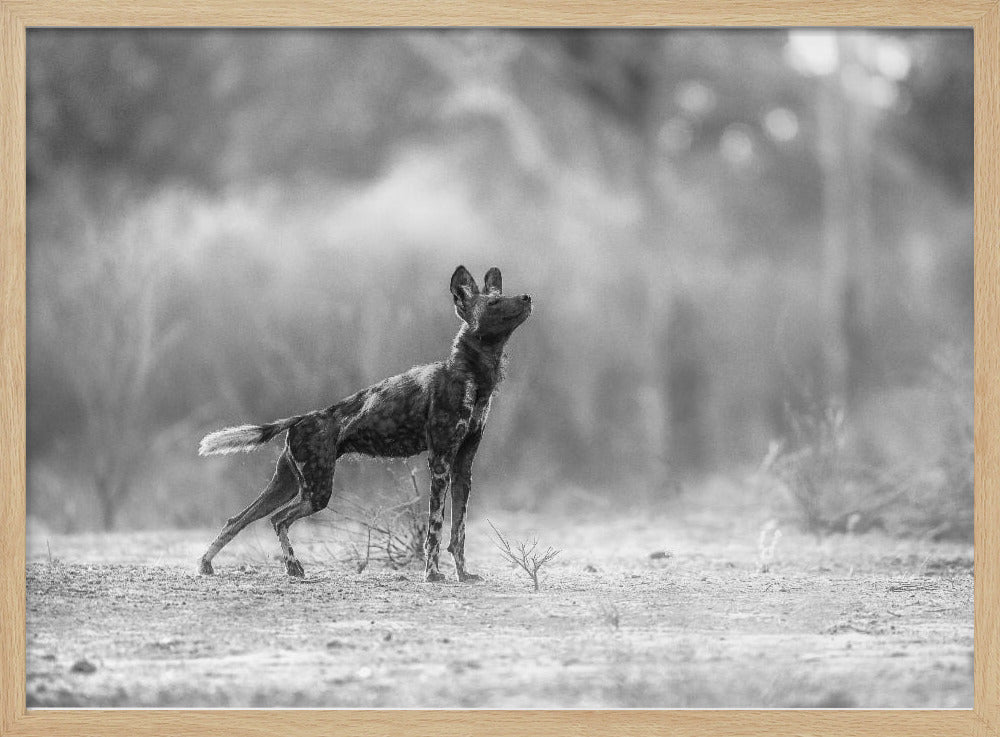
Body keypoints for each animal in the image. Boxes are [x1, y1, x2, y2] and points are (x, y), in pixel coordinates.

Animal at [198, 264, 536, 580]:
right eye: (493, 303)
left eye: (501, 296)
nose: (527, 297)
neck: (473, 378)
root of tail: (303, 418)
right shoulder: (440, 463)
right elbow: (436, 529)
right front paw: (432, 574)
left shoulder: (463, 468)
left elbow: (459, 532)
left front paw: (464, 575)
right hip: (317, 493)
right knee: (278, 520)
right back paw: (293, 566)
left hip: (287, 486)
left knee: (239, 520)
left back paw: (207, 564)